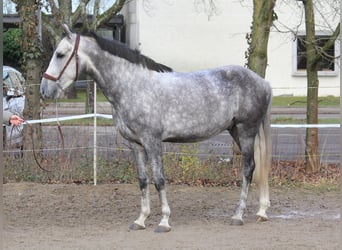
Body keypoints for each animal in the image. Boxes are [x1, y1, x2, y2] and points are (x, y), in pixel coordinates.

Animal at [40, 24, 272, 232]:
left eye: (60, 54)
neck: (133, 86)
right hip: (236, 131)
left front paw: (164, 221)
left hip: (246, 131)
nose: (45, 89)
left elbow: (159, 180)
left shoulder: (152, 141)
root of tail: (263, 83)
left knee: (248, 169)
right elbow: (143, 180)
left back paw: (238, 216)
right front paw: (141, 220)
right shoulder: (135, 144)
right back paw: (261, 211)